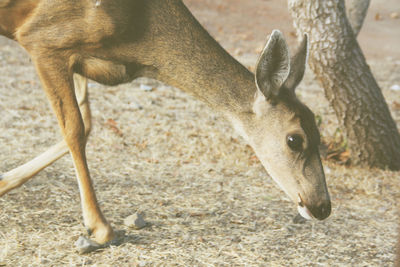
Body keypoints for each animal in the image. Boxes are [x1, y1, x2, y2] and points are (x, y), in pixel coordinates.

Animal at [0, 0, 332, 253]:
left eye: (319, 134)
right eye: (294, 139)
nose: (322, 206)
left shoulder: (79, 60)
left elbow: (87, 120)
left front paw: (3, 181)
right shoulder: (43, 39)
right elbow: (74, 129)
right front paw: (100, 228)